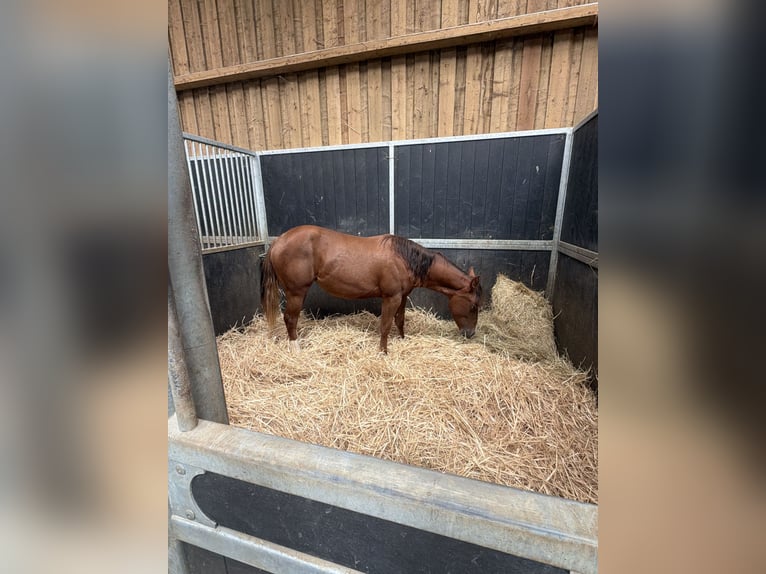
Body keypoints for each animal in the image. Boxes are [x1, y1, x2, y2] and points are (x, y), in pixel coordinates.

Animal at [261, 225, 483, 353]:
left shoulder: (402, 297)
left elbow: (400, 321)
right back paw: (296, 349)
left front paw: (401, 340)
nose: (470, 334)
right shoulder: (391, 298)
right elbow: (385, 325)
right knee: (290, 319)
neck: (404, 259)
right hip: (296, 292)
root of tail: (278, 241)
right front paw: (383, 351)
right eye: (473, 306)